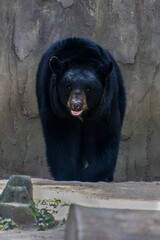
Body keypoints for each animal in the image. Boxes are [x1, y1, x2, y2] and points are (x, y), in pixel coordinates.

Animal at [36, 37, 126, 182]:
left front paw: (88, 176)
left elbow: (103, 138)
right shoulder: (56, 107)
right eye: (68, 86)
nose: (76, 104)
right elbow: (62, 139)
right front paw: (68, 175)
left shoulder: (105, 108)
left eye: (88, 89)